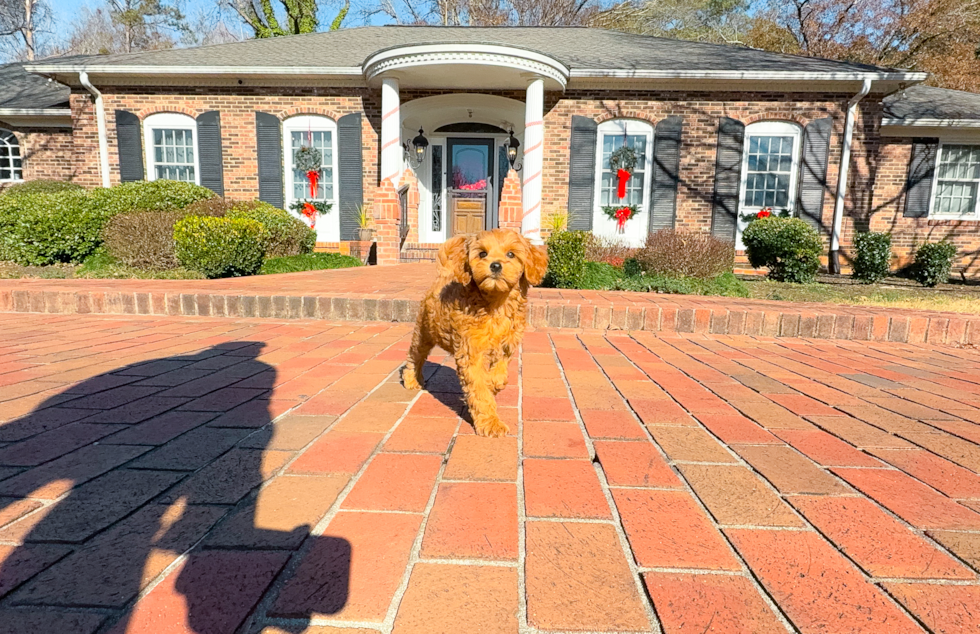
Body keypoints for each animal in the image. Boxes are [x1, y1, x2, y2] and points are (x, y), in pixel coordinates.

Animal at [402, 227, 548, 434]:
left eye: (511, 254)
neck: (496, 304)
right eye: (482, 254)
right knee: (415, 356)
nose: (495, 265)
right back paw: (412, 378)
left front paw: (493, 383)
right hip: (424, 332)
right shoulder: (471, 352)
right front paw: (491, 423)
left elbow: (500, 372)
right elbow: (480, 391)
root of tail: (443, 276)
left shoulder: (507, 345)